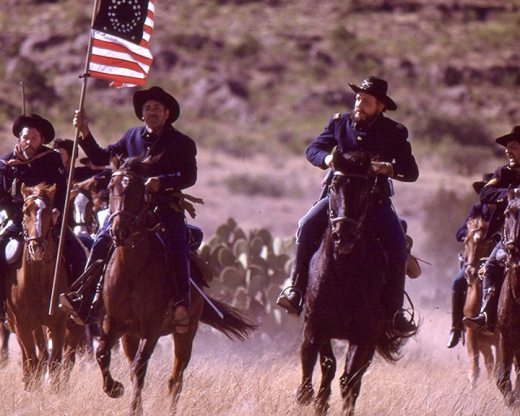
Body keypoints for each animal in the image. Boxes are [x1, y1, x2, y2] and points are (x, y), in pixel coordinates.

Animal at [5, 183, 84, 390]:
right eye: (25, 212)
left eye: (49, 211)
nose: (37, 248)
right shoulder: (22, 325)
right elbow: (32, 362)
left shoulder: (58, 323)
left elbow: (55, 363)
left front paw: (55, 391)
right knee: (33, 360)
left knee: (66, 360)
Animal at [96, 157, 258, 416]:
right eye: (111, 188)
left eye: (139, 189)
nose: (120, 231)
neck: (131, 271)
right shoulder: (114, 324)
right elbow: (103, 354)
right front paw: (114, 389)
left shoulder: (152, 330)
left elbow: (140, 368)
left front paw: (130, 404)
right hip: (129, 336)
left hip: (185, 333)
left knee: (175, 380)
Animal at [296, 150, 414, 416]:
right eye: (334, 186)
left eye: (365, 190)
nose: (344, 236)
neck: (344, 272)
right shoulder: (315, 326)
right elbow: (319, 362)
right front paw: (309, 398)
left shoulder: (364, 337)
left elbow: (348, 380)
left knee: (352, 380)